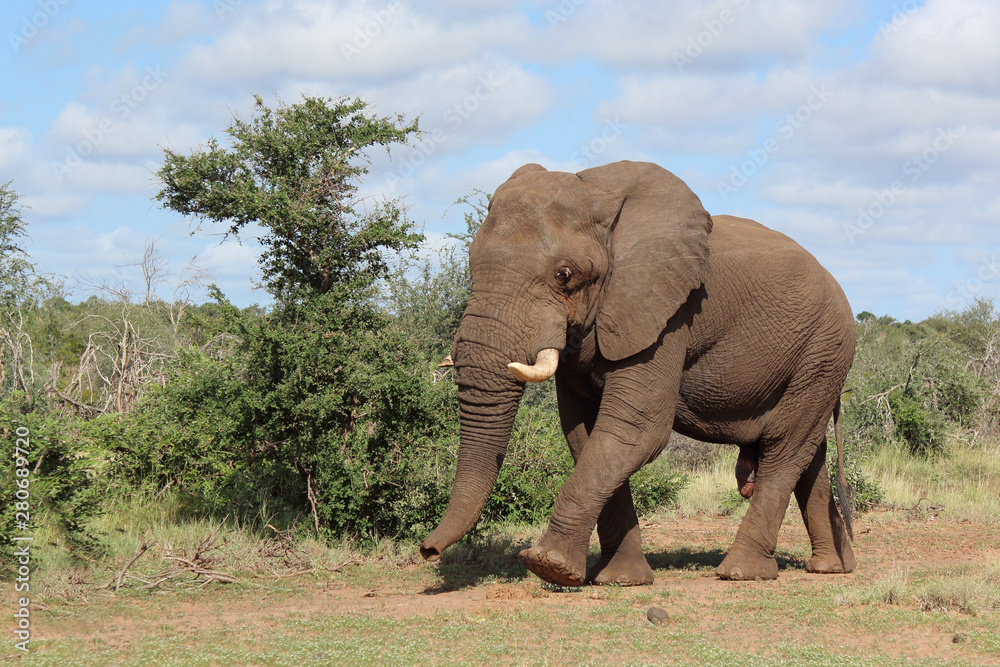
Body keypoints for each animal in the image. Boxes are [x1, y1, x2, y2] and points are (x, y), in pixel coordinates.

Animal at [420, 160, 856, 586]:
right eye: (472, 265)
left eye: (564, 274)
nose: (428, 551)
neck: (598, 193)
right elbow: (585, 434)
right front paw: (620, 579)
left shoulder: (666, 314)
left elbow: (636, 429)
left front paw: (549, 566)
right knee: (808, 455)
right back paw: (832, 567)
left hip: (824, 351)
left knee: (785, 446)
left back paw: (742, 573)